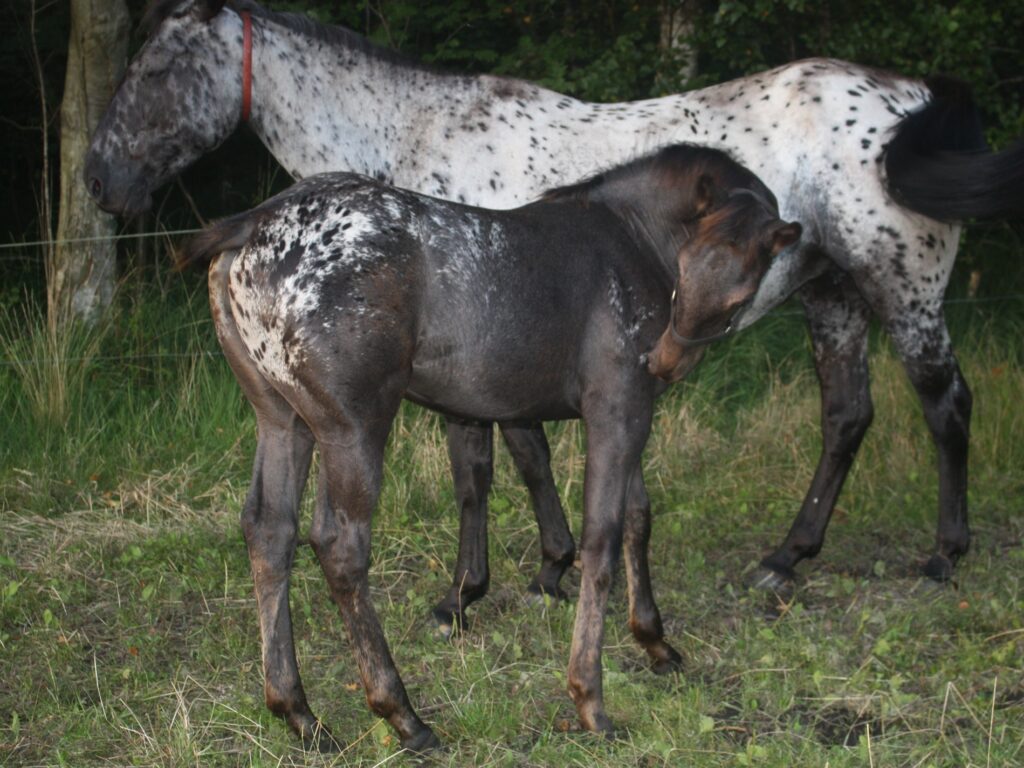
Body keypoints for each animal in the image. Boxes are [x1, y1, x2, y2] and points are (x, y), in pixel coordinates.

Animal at [88, 0, 1024, 622]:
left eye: (157, 68)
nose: (100, 180)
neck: (416, 138)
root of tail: (908, 99)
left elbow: (482, 469)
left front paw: (468, 593)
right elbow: (527, 454)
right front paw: (549, 567)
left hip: (903, 290)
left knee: (945, 406)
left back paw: (944, 553)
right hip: (831, 296)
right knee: (846, 417)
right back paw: (785, 560)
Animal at [182, 144, 806, 753]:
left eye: (742, 289)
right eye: (686, 265)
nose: (665, 361)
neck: (629, 235)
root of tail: (255, 222)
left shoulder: (630, 410)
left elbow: (636, 518)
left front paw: (654, 642)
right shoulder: (617, 409)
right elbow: (603, 539)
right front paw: (590, 698)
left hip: (282, 420)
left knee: (269, 532)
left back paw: (299, 714)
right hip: (353, 429)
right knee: (340, 548)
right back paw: (403, 715)